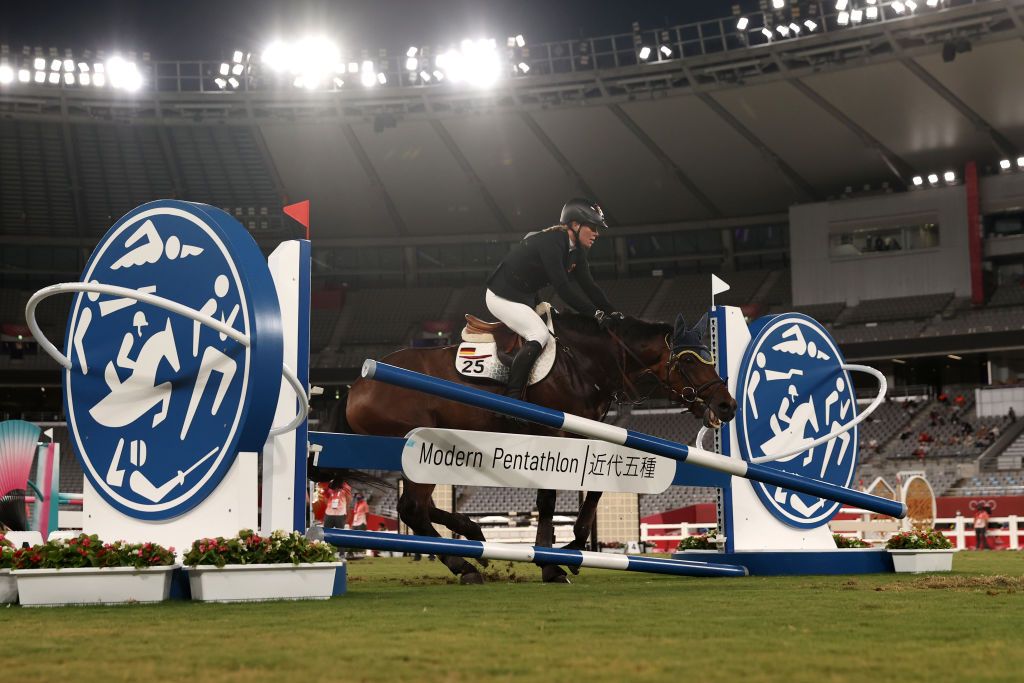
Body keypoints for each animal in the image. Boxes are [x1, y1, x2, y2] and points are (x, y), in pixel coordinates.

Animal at [344, 313, 737, 585]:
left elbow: (594, 491)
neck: (584, 362)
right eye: (688, 360)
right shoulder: (554, 435)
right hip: (421, 448)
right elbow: (547, 500)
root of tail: (357, 386)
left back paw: (473, 535)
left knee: (420, 508)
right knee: (412, 509)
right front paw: (550, 563)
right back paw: (465, 565)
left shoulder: (588, 438)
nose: (726, 406)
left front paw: (569, 549)